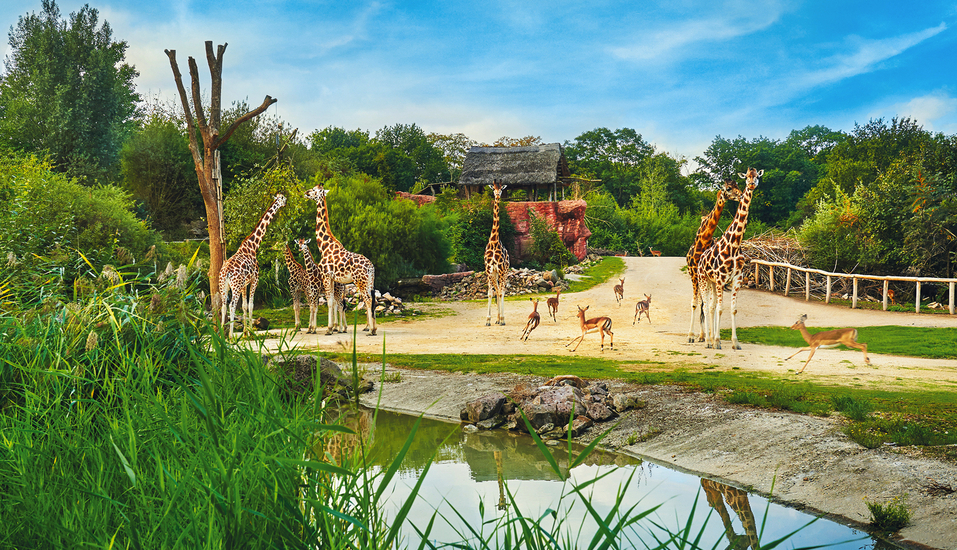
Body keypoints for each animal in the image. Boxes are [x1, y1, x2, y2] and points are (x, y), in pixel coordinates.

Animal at [218, 194, 286, 340]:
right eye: (282, 198)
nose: (285, 202)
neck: (253, 246)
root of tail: (226, 272)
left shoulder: (244, 284)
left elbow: (244, 306)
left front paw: (245, 333)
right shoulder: (255, 279)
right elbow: (251, 305)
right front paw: (251, 332)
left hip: (224, 285)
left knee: (224, 305)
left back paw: (220, 335)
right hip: (235, 285)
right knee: (232, 305)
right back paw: (231, 336)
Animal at [308, 184, 380, 336]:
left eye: (314, 190)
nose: (306, 193)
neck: (323, 246)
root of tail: (371, 267)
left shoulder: (326, 276)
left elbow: (330, 302)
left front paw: (329, 329)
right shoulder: (333, 279)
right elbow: (334, 303)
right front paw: (334, 328)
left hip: (361, 281)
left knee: (368, 300)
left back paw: (371, 330)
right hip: (369, 281)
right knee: (372, 301)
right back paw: (373, 329)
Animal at [684, 181, 744, 342]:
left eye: (737, 185)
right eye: (728, 188)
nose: (741, 194)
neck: (702, 241)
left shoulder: (710, 276)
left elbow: (710, 304)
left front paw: (708, 335)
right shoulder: (694, 274)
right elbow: (695, 303)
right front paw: (691, 335)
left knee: (708, 303)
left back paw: (706, 335)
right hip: (699, 278)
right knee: (701, 301)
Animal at [696, 168, 760, 352]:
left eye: (757, 177)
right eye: (746, 177)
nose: (751, 185)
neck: (734, 245)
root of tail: (701, 259)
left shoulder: (736, 279)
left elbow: (733, 309)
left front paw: (735, 342)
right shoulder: (720, 279)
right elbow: (720, 308)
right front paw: (717, 341)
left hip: (711, 282)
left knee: (710, 306)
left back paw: (710, 339)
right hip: (703, 279)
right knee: (705, 306)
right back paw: (708, 341)